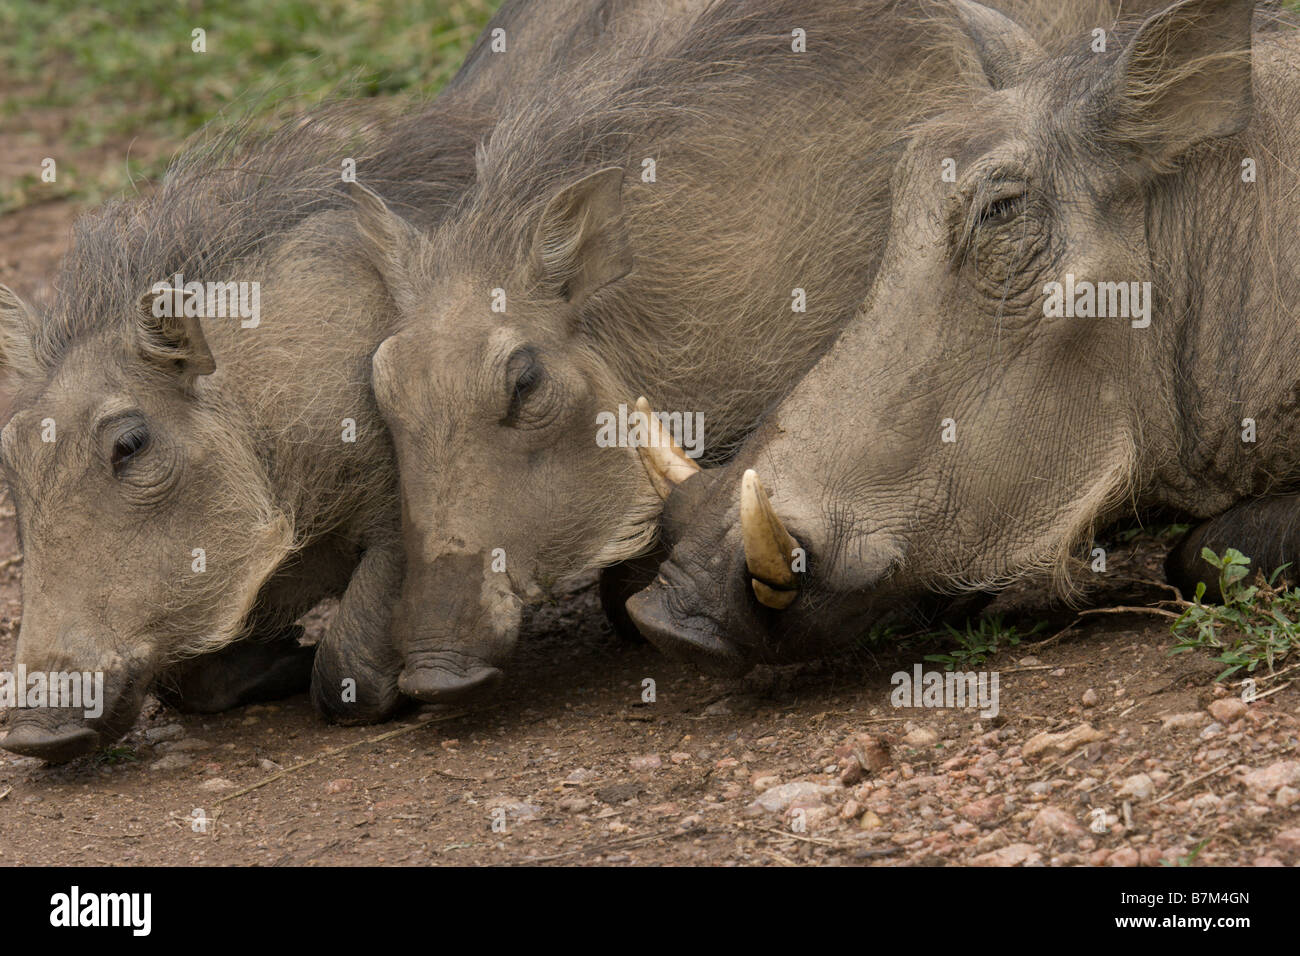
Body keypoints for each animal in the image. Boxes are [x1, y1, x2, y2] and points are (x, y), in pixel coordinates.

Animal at [0, 0, 697, 761]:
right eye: (9, 454)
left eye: (130, 445)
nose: (34, 730)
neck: (262, 416)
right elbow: (189, 681)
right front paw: (275, 659)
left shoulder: (405, 516)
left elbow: (346, 669)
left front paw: (339, 672)